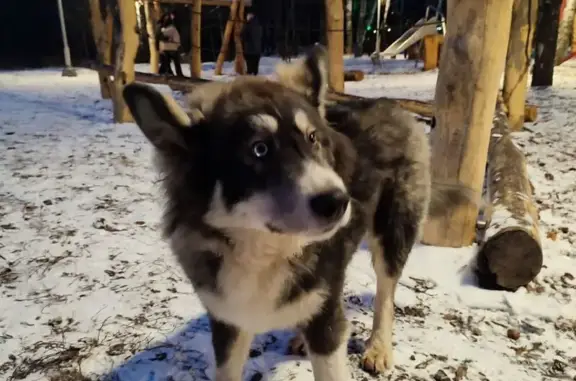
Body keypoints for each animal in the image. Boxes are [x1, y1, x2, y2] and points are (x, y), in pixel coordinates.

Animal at [122, 45, 476, 380]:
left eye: (313, 138)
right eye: (259, 149)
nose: (339, 201)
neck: (263, 253)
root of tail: (387, 104)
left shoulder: (327, 328)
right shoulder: (229, 321)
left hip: (393, 233)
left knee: (385, 293)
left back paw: (378, 347)